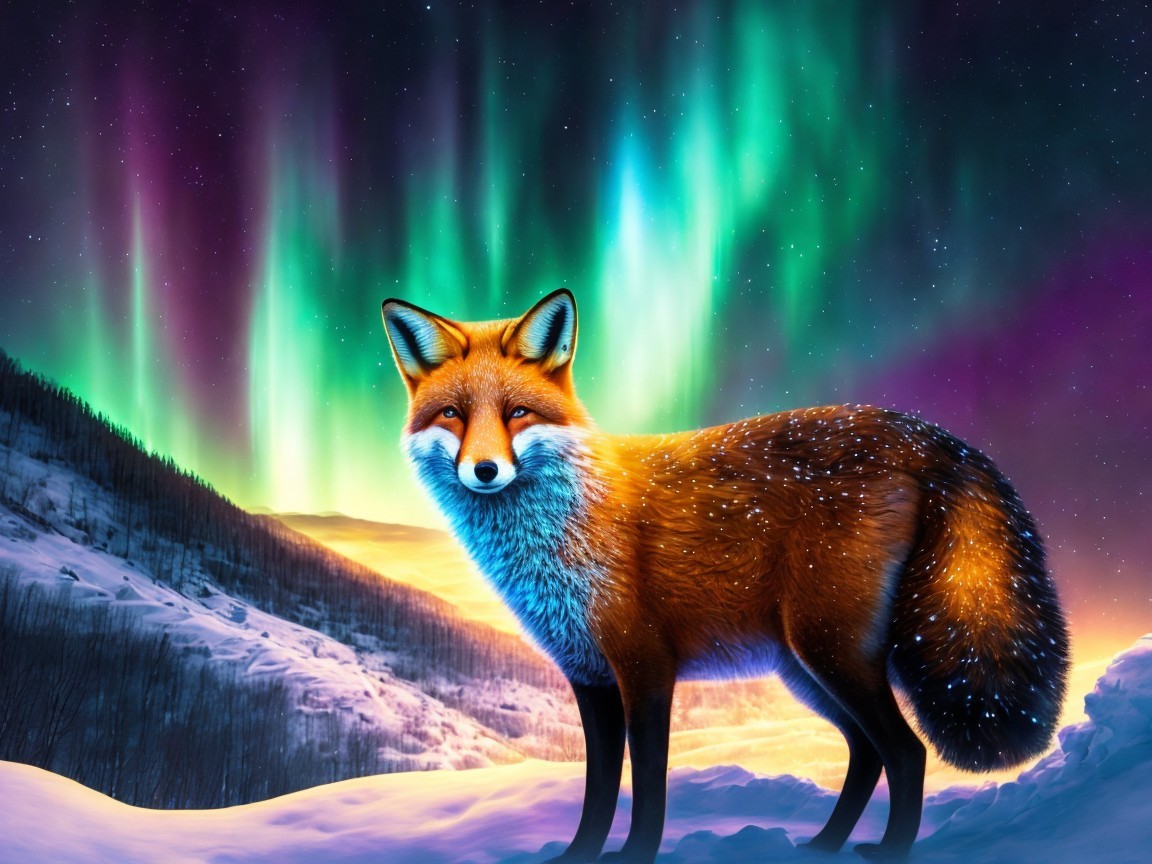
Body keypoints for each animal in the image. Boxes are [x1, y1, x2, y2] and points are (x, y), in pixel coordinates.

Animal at [380, 289, 1069, 863]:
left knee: (906, 751)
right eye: (452, 415)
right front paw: (578, 857)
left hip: (830, 651)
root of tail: (919, 434)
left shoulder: (645, 667)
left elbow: (648, 787)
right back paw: (822, 846)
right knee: (866, 752)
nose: (485, 471)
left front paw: (636, 856)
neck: (564, 529)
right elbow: (598, 791)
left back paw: (888, 851)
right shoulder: (588, 675)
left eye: (517, 412)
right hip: (805, 670)